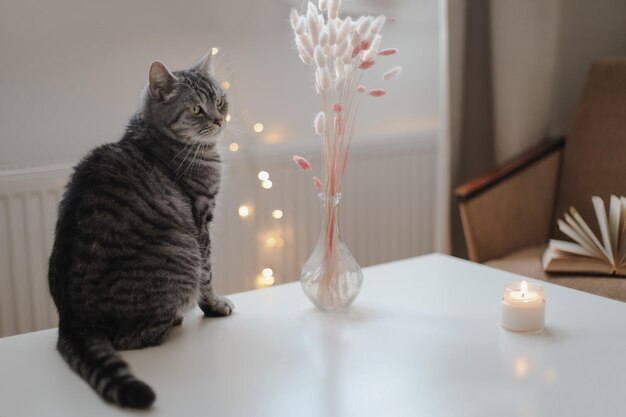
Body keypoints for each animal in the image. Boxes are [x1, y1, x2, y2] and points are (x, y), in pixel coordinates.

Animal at [46, 51, 232, 406]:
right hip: (180, 256)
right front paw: (215, 306)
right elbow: (208, 274)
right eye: (196, 109)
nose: (219, 121)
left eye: (219, 100)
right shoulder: (200, 219)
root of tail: (73, 321)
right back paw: (175, 319)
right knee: (134, 337)